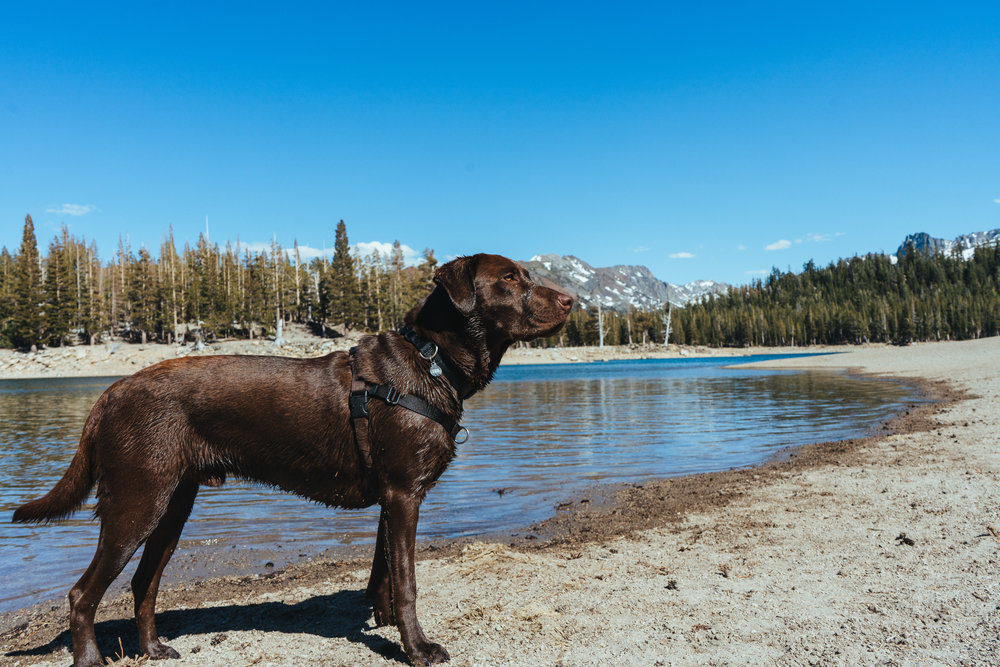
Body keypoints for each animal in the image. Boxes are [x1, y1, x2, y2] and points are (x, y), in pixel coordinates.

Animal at [13, 253, 572, 664]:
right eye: (510, 278)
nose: (571, 300)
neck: (430, 361)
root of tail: (110, 392)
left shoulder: (391, 500)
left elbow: (383, 576)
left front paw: (386, 622)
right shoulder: (403, 494)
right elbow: (407, 582)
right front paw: (416, 648)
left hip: (172, 506)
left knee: (143, 583)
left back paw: (153, 649)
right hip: (136, 503)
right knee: (82, 594)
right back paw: (91, 659)